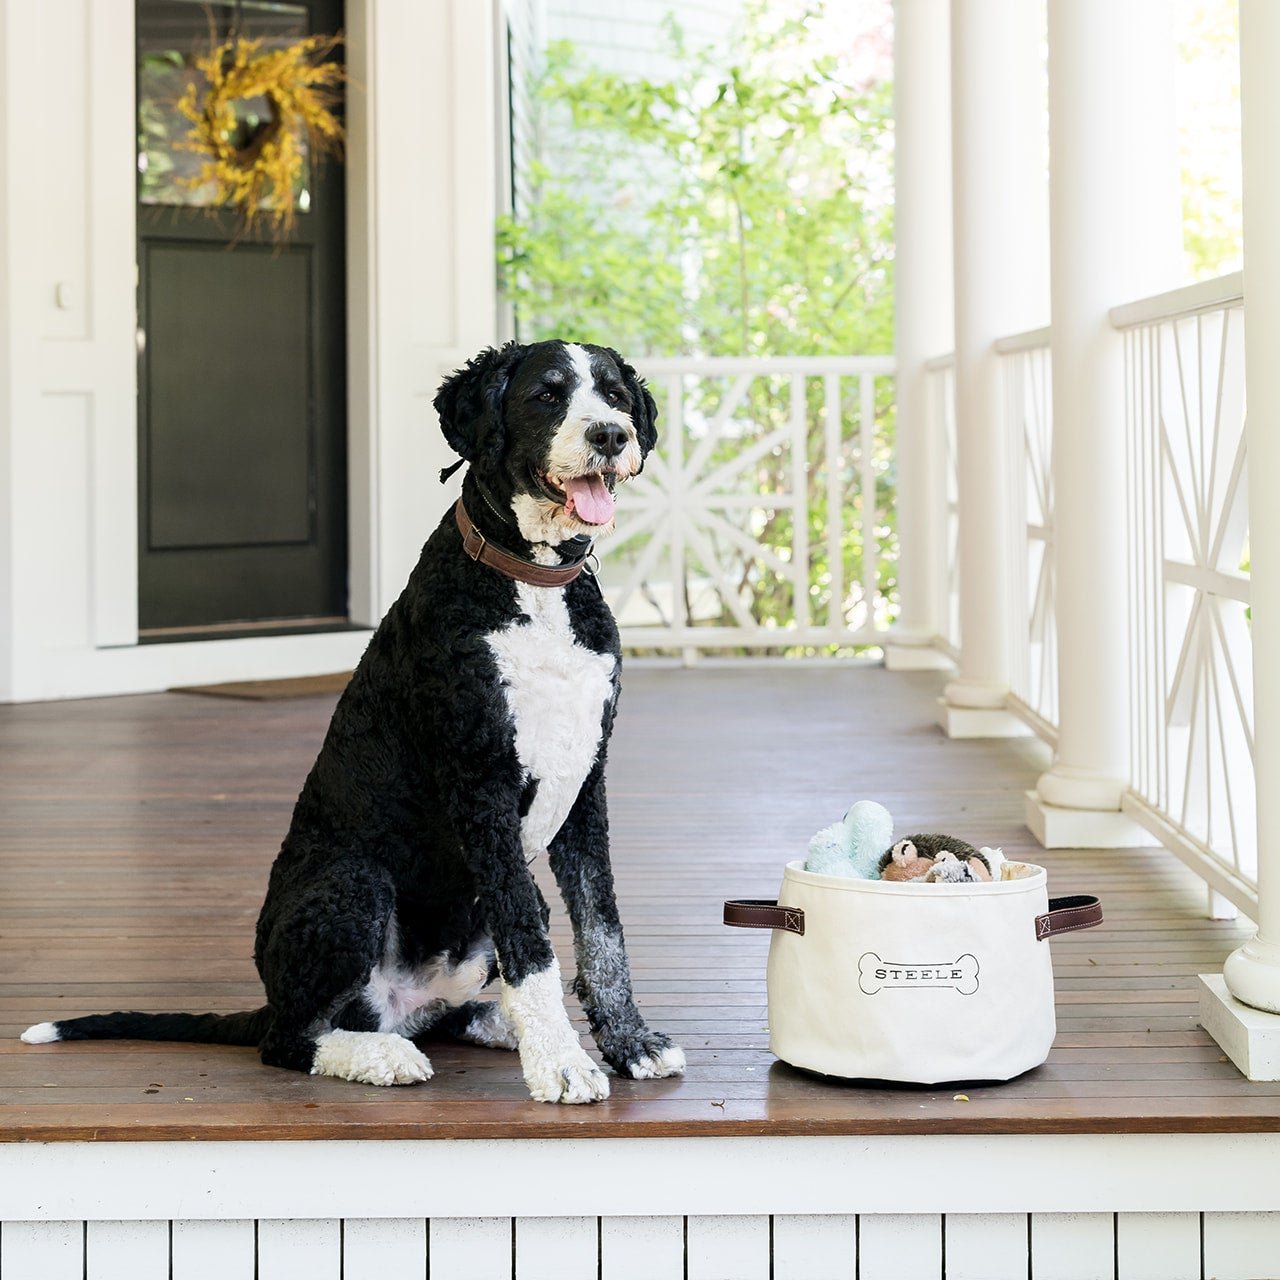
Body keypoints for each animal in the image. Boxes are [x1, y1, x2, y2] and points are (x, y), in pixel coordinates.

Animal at [22, 340, 680, 1100]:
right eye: (547, 395)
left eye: (615, 396)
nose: (610, 436)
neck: (531, 586)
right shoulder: (481, 781)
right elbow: (532, 945)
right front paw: (563, 1065)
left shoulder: (585, 783)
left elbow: (603, 929)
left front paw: (627, 1042)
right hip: (352, 881)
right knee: (292, 1039)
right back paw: (384, 1057)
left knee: (434, 1013)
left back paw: (489, 1025)